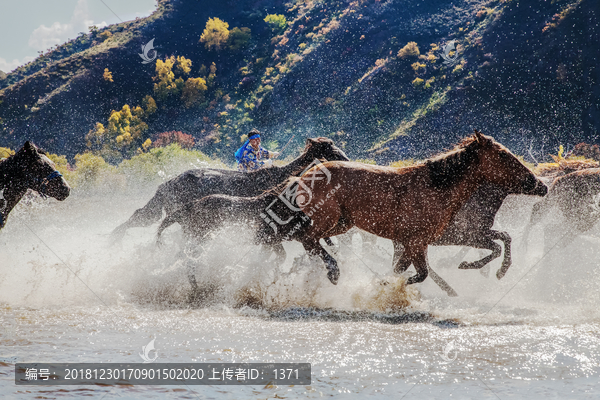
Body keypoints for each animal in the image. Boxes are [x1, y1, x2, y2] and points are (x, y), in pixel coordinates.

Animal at [290, 131, 548, 290]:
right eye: (503, 155)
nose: (540, 184)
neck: (437, 186)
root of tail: (303, 176)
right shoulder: (417, 242)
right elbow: (419, 274)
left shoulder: (415, 243)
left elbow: (399, 270)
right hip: (328, 219)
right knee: (307, 238)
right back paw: (332, 272)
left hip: (343, 223)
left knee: (310, 241)